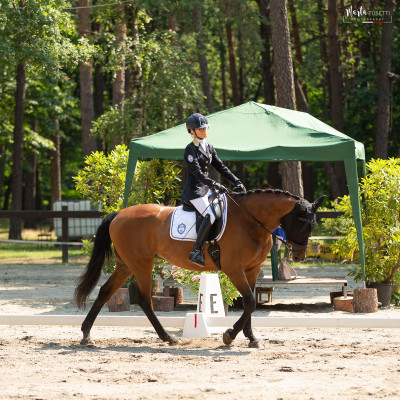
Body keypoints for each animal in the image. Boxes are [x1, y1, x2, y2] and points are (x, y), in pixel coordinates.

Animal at [74, 189, 324, 348]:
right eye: (302, 223)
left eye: (313, 225)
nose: (299, 255)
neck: (250, 221)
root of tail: (119, 213)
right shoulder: (234, 268)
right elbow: (250, 301)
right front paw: (229, 335)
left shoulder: (251, 269)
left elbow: (250, 302)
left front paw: (251, 338)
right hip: (141, 263)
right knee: (144, 299)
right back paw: (167, 337)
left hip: (126, 265)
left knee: (106, 292)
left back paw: (86, 334)